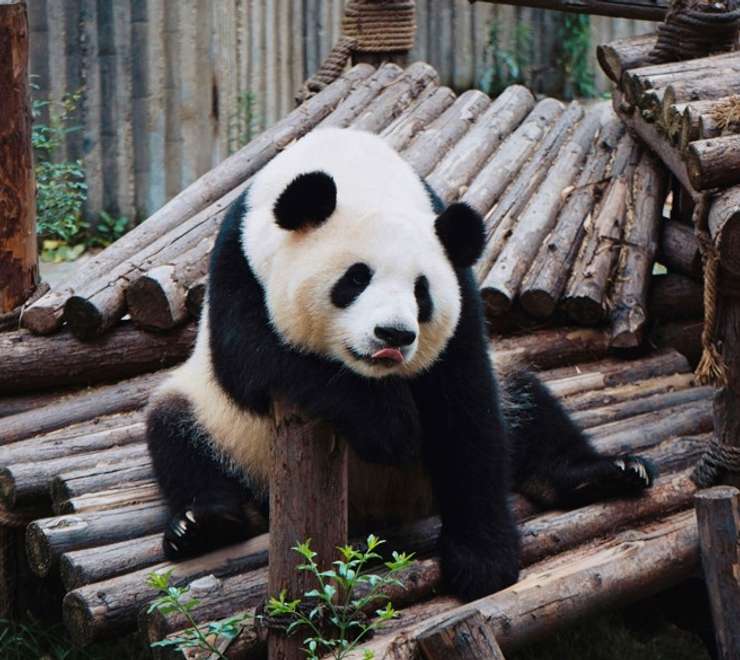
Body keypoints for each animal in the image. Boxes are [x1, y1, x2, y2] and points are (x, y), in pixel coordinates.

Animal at [146, 127, 654, 601]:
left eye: (421, 292)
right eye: (355, 279)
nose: (394, 335)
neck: (353, 166)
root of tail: (377, 509)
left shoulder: (461, 289)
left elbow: (466, 405)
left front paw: (483, 559)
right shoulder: (238, 263)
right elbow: (256, 360)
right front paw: (388, 424)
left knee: (528, 408)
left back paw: (603, 474)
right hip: (223, 425)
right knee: (176, 433)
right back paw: (203, 524)